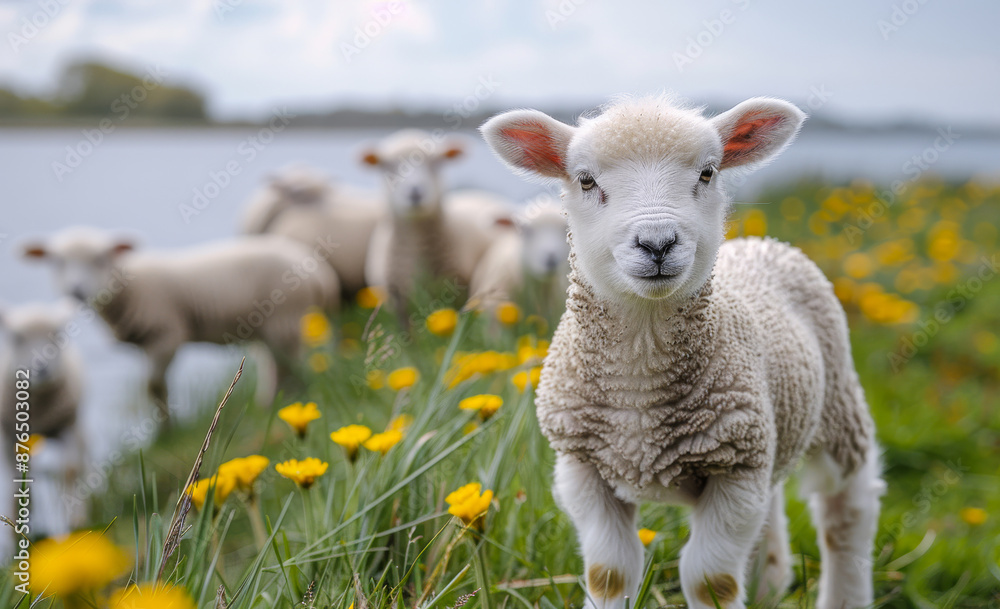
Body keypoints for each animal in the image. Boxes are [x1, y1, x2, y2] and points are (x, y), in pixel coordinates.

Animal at [0, 301, 87, 539]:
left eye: (56, 334)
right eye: (17, 338)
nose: (42, 367)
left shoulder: (66, 427)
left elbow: (69, 471)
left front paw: (72, 524)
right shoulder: (9, 437)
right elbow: (14, 482)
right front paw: (17, 529)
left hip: (78, 428)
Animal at [21, 228, 340, 418]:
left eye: (100, 259)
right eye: (57, 262)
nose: (75, 290)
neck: (128, 285)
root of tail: (322, 274)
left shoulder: (166, 334)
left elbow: (154, 386)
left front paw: (166, 429)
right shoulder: (147, 342)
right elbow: (153, 388)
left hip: (285, 319)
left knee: (291, 364)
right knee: (275, 365)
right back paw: (269, 404)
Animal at [481, 96, 882, 609]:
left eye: (708, 173)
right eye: (586, 180)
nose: (657, 243)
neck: (640, 379)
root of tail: (762, 242)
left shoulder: (736, 469)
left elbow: (711, 579)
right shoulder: (581, 466)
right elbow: (608, 572)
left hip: (836, 403)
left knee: (848, 510)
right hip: (771, 429)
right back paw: (770, 581)